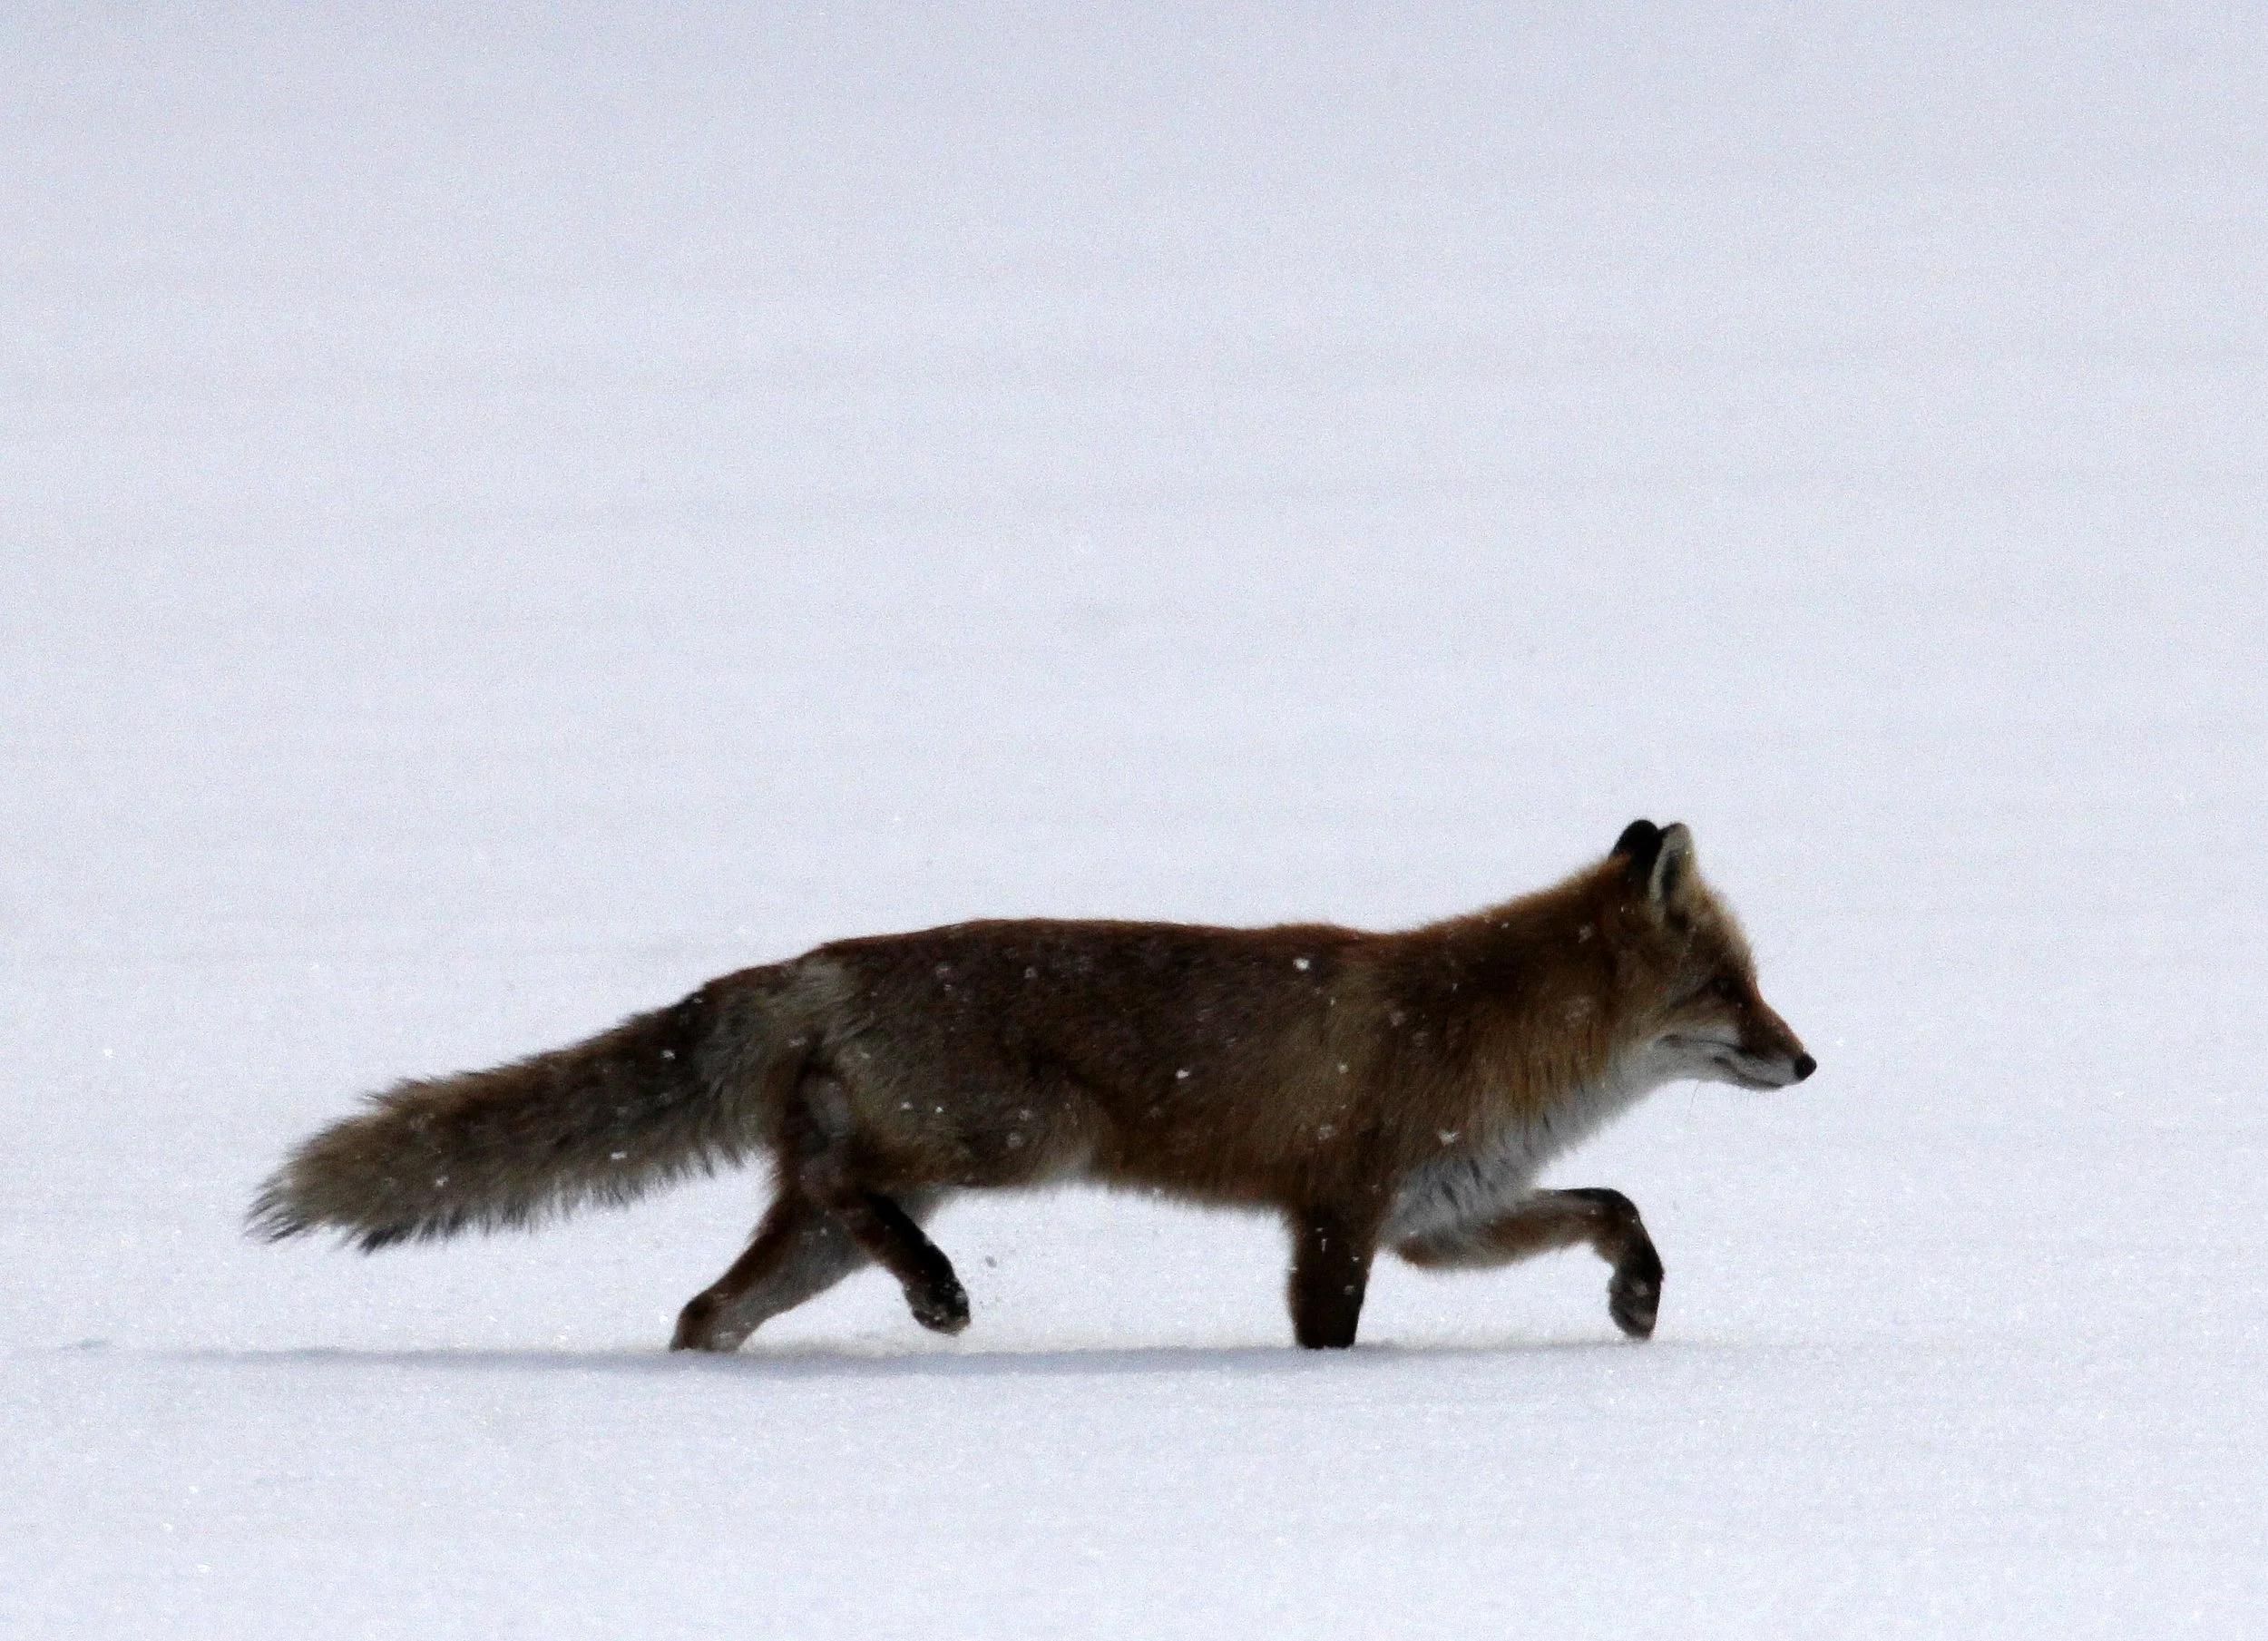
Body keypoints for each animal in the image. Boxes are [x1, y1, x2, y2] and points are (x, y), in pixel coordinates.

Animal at [250, 820, 1812, 1350]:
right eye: (1731, 990)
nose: (1808, 1060)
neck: (1491, 1030)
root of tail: (814, 962)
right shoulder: (1342, 1214)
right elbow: (1330, 1339)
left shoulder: (1441, 1217)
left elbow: (1615, 1201)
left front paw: (1637, 1300)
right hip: (1016, 1139)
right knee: (845, 1189)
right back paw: (940, 1293)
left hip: (848, 1220)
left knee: (712, 1303)